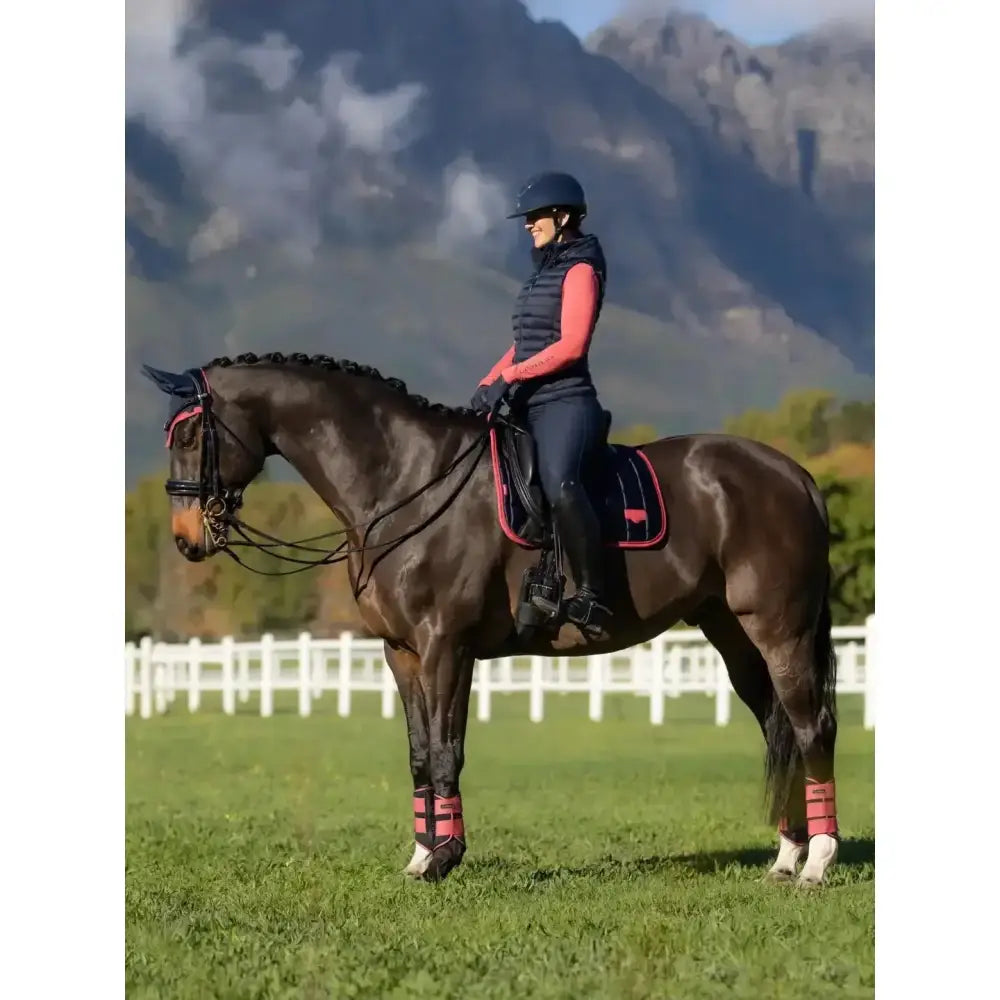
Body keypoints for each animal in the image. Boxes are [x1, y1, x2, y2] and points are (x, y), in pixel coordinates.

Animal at [141, 351, 840, 889]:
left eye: (190, 436)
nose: (185, 539)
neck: (405, 482)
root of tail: (794, 474)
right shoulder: (402, 652)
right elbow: (419, 754)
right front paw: (421, 854)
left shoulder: (445, 646)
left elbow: (447, 749)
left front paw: (444, 858)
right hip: (732, 634)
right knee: (777, 726)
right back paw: (788, 855)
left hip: (780, 629)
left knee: (812, 728)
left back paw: (818, 862)